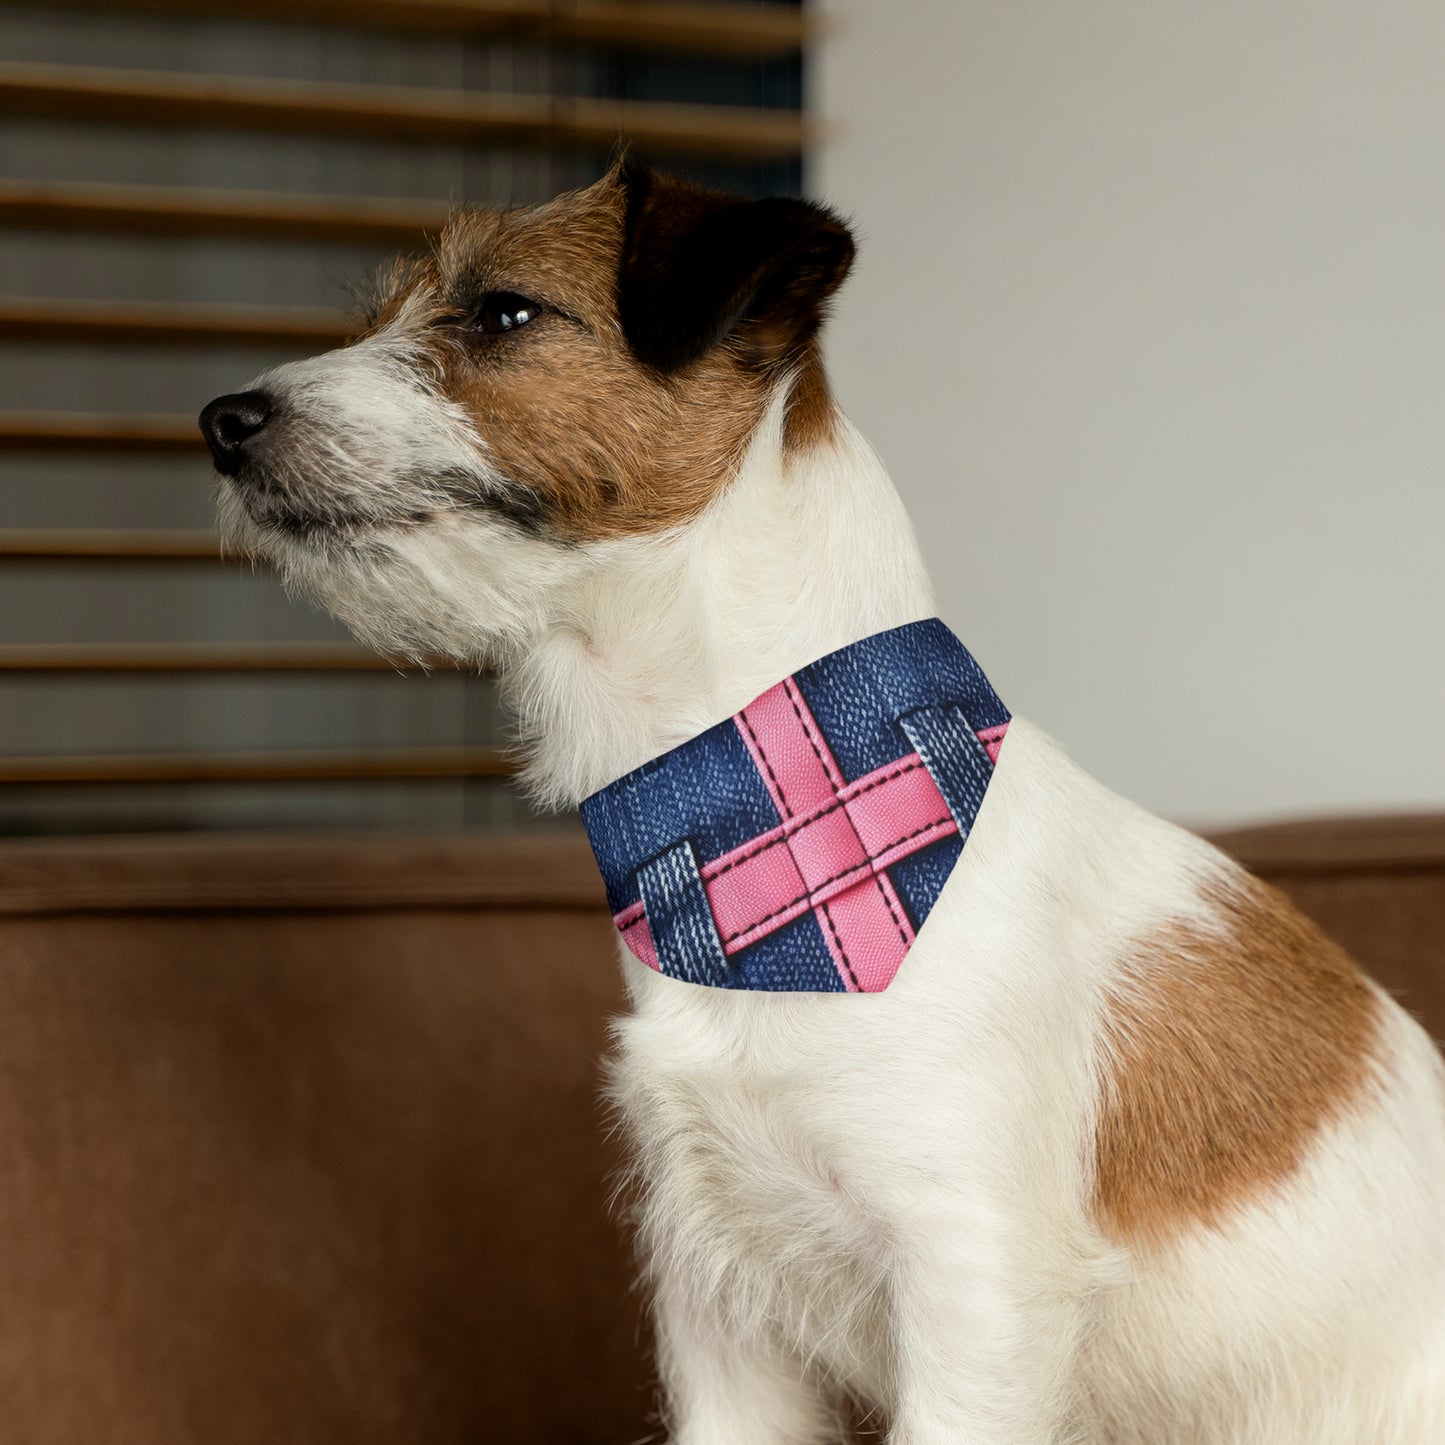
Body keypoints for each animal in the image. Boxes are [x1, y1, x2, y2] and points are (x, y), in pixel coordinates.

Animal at [200, 164, 1445, 1445]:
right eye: (382, 314)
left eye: (502, 312)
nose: (221, 421)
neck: (762, 821)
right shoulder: (717, 1308)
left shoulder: (973, 1291)